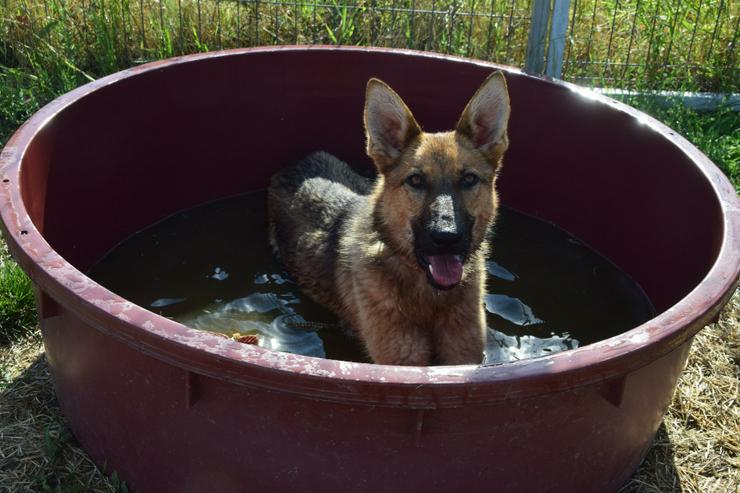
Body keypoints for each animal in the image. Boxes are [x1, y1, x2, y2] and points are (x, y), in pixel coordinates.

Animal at [268, 73, 512, 366]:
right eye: (415, 180)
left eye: (469, 179)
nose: (447, 237)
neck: (430, 301)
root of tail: (301, 161)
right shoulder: (401, 361)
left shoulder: (463, 356)